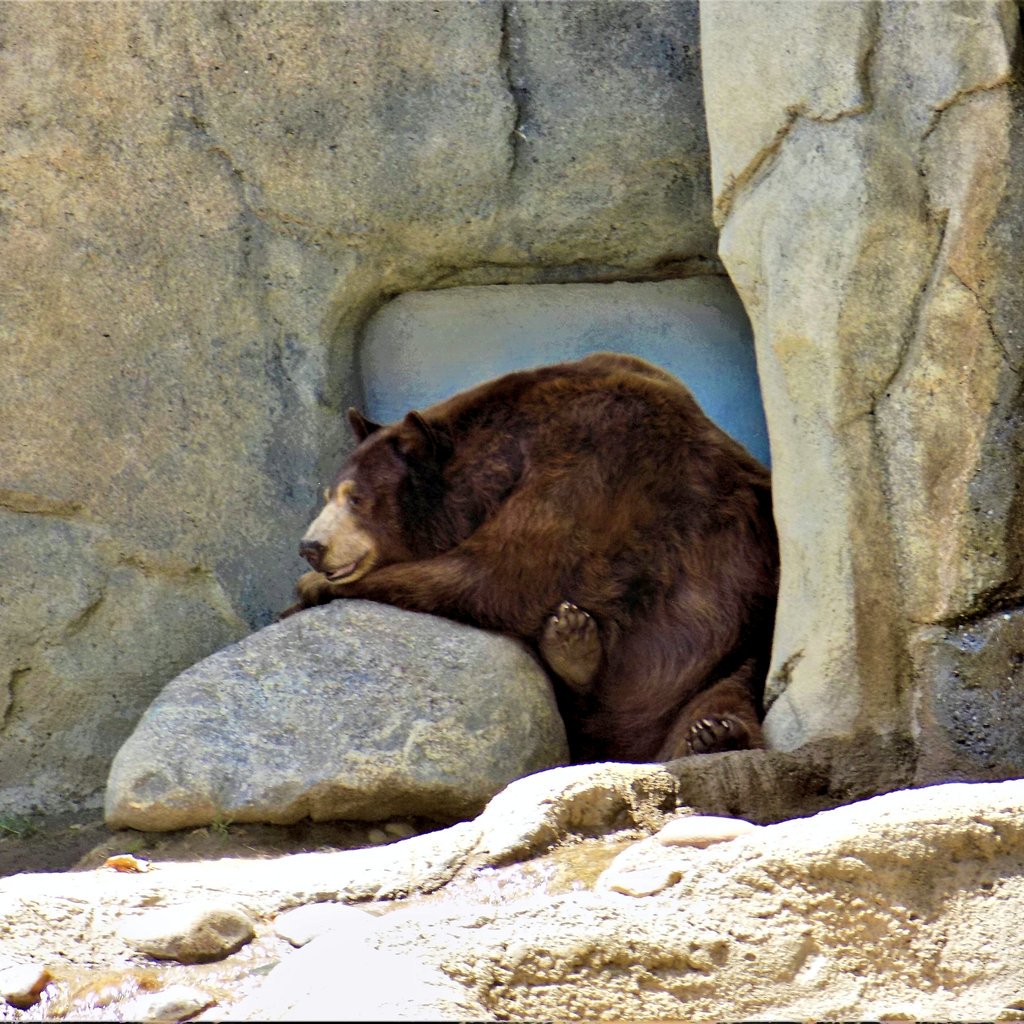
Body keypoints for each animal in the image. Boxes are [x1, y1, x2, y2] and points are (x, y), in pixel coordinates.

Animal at [288, 352, 779, 763]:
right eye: (330, 494)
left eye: (356, 498)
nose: (310, 546)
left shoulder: (593, 462)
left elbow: (502, 575)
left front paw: (307, 589)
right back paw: (574, 647)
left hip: (739, 633)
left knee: (728, 690)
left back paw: (714, 734)